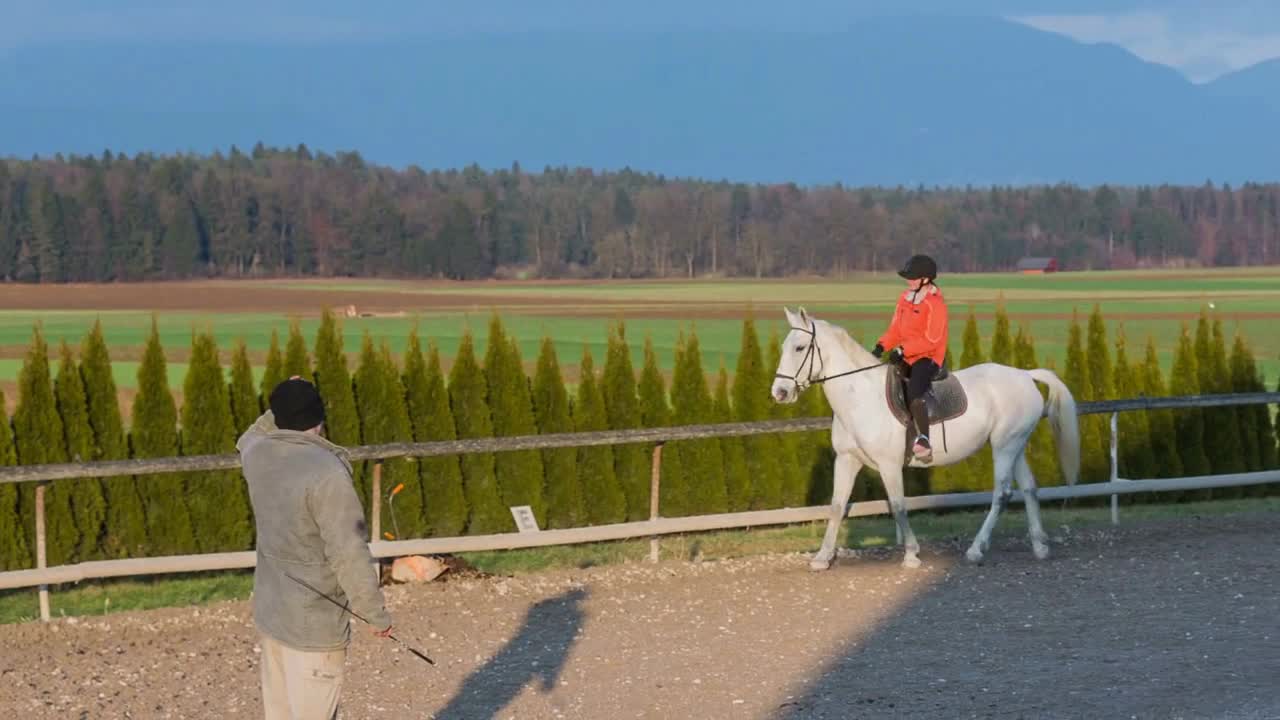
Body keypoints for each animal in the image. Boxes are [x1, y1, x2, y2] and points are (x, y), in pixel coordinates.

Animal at [768, 304, 1080, 568]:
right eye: (784, 347)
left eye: (799, 347)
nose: (780, 392)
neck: (860, 397)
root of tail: (1026, 375)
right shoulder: (847, 460)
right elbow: (836, 506)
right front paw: (822, 558)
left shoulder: (889, 465)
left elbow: (897, 506)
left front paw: (911, 554)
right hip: (1015, 445)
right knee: (1029, 487)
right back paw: (1039, 546)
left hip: (1004, 446)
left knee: (1002, 493)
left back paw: (976, 550)